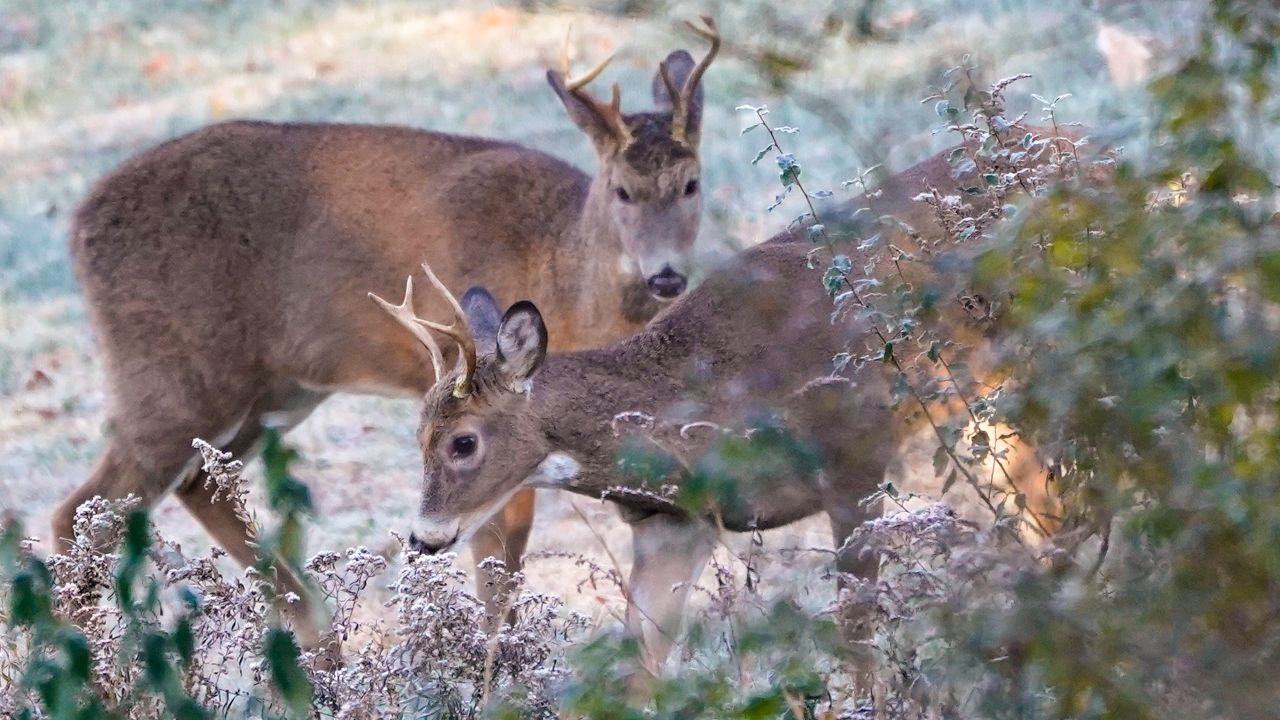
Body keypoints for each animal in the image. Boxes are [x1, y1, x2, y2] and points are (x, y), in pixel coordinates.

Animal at [55, 19, 721, 630]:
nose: (666, 275)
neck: (564, 273)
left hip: (274, 390)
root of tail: (80, 222)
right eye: (623, 191)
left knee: (198, 486)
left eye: (693, 183)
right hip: (169, 375)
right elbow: (495, 571)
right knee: (82, 510)